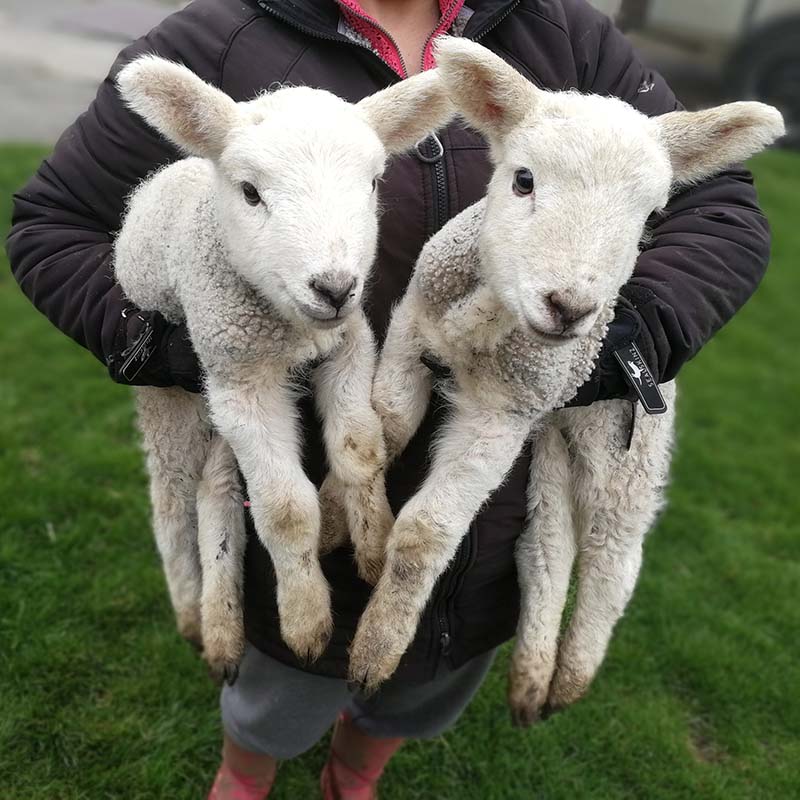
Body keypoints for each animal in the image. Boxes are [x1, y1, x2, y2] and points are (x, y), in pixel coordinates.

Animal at [112, 56, 453, 682]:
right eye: (250, 192)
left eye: (373, 183)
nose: (335, 287)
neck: (289, 328)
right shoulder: (238, 372)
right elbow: (286, 510)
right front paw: (306, 619)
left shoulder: (347, 344)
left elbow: (359, 448)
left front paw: (372, 547)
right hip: (170, 386)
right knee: (172, 494)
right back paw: (195, 616)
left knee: (216, 487)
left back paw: (222, 625)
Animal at [347, 37, 784, 716]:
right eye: (523, 179)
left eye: (651, 213)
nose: (570, 307)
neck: (483, 320)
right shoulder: (412, 333)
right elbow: (385, 429)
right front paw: (342, 521)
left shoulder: (505, 409)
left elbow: (425, 534)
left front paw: (375, 651)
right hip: (552, 437)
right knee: (547, 547)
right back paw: (531, 680)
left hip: (626, 443)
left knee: (612, 555)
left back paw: (571, 677)